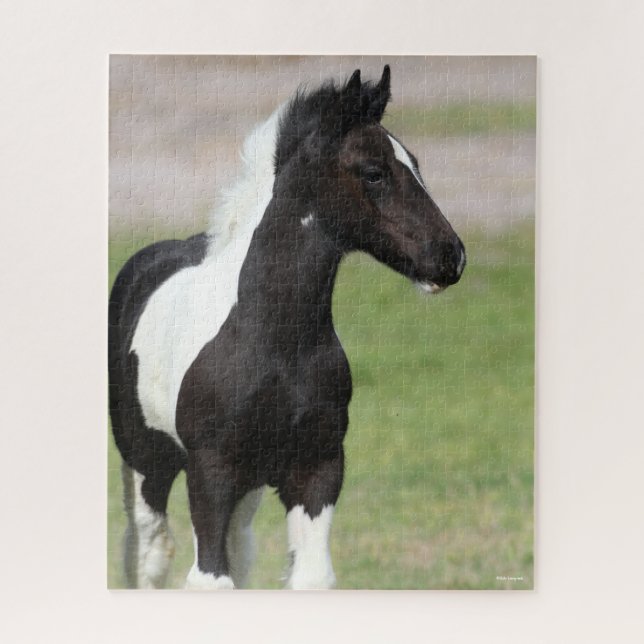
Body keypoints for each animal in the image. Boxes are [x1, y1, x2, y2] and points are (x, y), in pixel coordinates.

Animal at [108, 65, 466, 590]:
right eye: (374, 172)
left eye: (416, 165)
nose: (450, 257)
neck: (275, 343)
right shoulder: (210, 471)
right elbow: (209, 578)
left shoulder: (318, 469)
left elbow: (308, 576)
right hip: (146, 461)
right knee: (149, 555)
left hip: (248, 485)